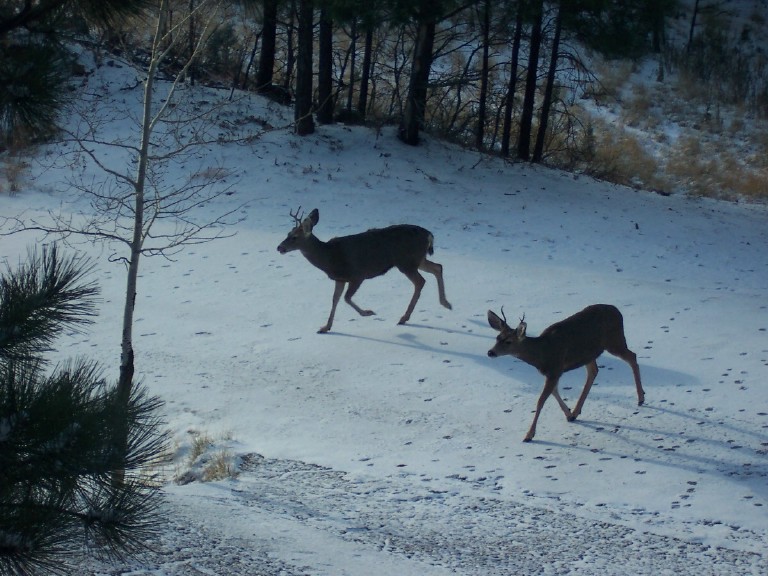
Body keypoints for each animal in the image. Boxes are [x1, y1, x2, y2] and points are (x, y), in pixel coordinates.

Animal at [280, 208, 452, 332]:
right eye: (288, 233)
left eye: (294, 237)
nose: (279, 247)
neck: (329, 257)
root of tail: (429, 235)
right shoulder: (340, 278)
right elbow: (335, 299)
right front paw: (325, 327)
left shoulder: (357, 275)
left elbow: (346, 298)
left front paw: (368, 312)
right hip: (417, 259)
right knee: (438, 267)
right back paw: (446, 303)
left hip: (406, 262)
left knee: (420, 281)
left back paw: (404, 317)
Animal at [486, 306, 640, 440]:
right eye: (497, 337)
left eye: (509, 341)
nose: (490, 352)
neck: (542, 353)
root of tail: (617, 311)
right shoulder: (552, 373)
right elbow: (554, 392)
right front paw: (569, 414)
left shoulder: (555, 369)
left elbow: (541, 400)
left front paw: (529, 435)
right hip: (589, 353)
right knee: (593, 371)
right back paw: (576, 411)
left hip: (614, 340)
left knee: (632, 356)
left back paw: (641, 398)